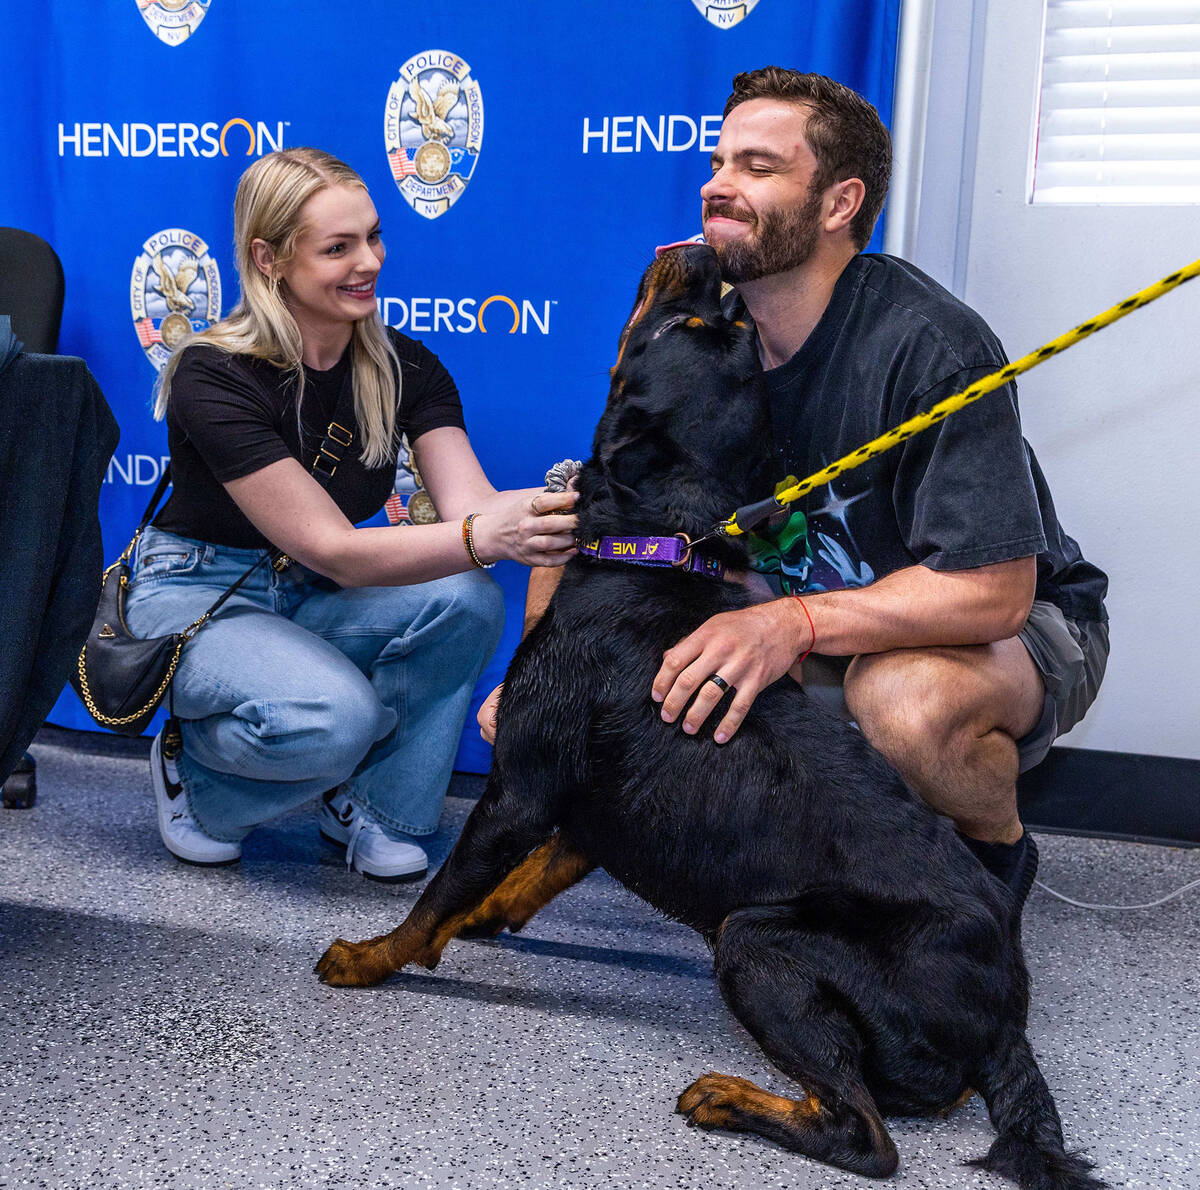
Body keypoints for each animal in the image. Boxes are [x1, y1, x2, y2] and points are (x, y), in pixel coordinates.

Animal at [319, 243, 1104, 1190]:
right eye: (721, 326)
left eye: (683, 325)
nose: (702, 257)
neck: (655, 549)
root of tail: (1006, 1023)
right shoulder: (602, 809)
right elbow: (535, 871)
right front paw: (488, 914)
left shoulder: (520, 788)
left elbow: (436, 895)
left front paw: (369, 957)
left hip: (757, 937)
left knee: (866, 1136)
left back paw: (728, 1097)